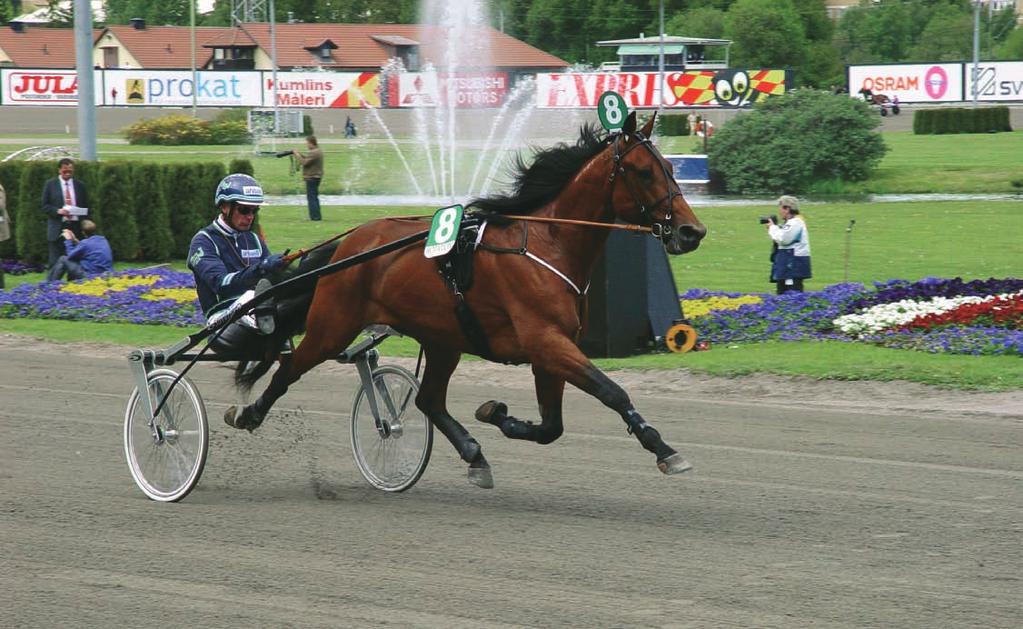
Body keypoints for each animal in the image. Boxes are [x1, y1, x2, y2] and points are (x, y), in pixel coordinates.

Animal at [226, 111, 703, 486]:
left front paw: (495, 413)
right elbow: (612, 392)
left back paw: (475, 455)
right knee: (289, 367)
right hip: (333, 325)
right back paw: (248, 414)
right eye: (644, 171)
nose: (691, 231)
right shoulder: (547, 341)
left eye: (671, 166)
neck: (547, 242)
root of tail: (351, 243)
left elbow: (551, 426)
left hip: (443, 338)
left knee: (428, 400)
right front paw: (664, 449)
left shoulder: (550, 348)